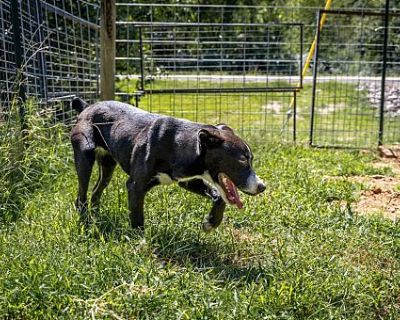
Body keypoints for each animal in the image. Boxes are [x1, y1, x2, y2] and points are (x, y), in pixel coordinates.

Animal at [71, 99, 266, 231]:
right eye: (242, 160)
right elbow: (137, 218)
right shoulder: (135, 186)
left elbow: (219, 196)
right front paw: (140, 245)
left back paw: (96, 215)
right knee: (81, 195)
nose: (262, 186)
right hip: (84, 157)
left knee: (96, 190)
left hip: (107, 164)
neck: (179, 143)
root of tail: (87, 106)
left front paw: (211, 222)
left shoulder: (187, 179)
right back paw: (86, 221)